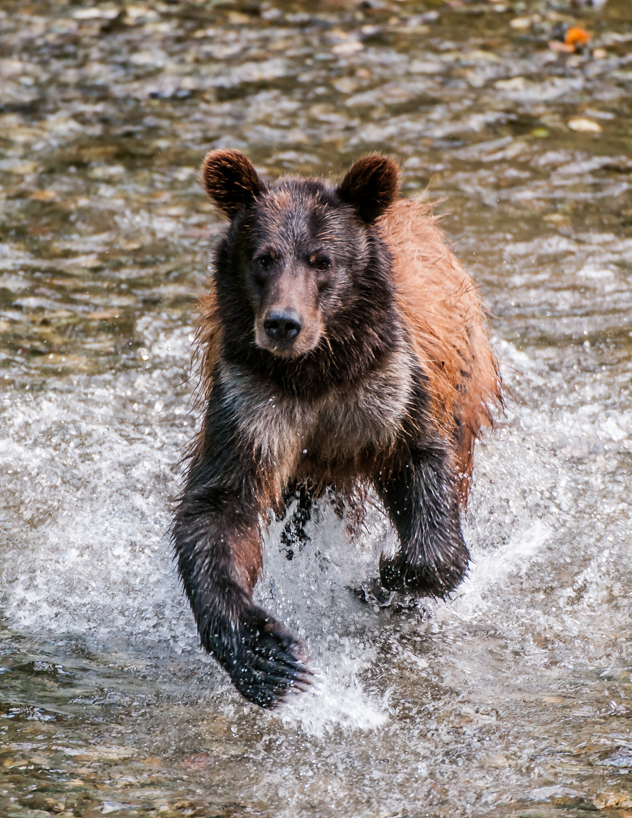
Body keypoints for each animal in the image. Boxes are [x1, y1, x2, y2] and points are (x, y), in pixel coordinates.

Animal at [172, 150, 502, 709]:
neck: (317, 373)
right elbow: (218, 507)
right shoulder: (254, 403)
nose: (283, 323)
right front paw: (269, 658)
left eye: (321, 260)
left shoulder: (388, 388)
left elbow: (423, 472)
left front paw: (385, 576)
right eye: (263, 258)